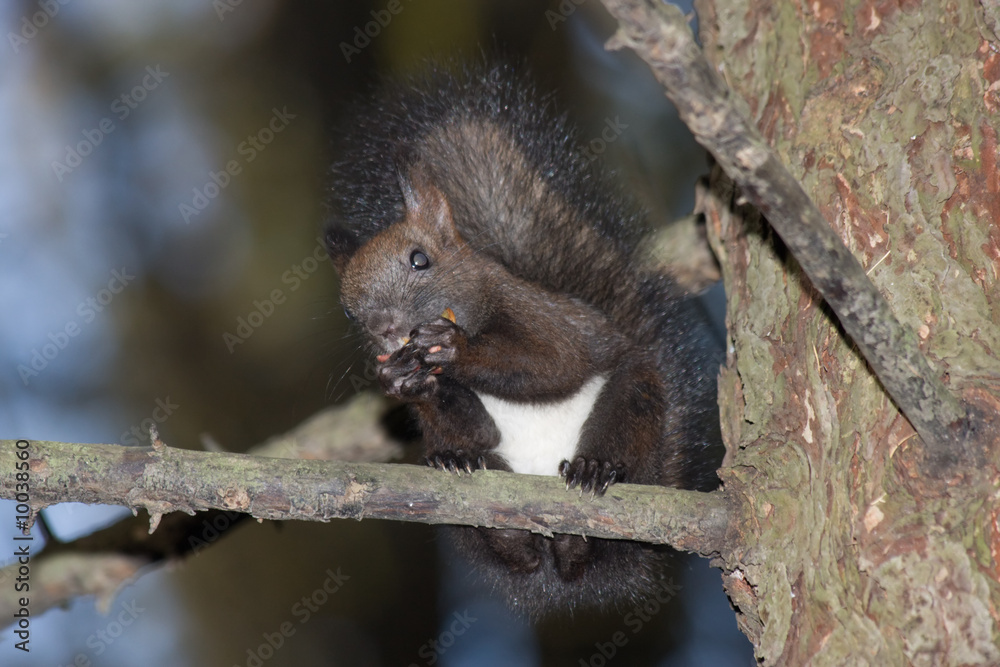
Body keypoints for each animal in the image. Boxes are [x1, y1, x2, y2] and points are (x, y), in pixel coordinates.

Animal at [323, 62, 723, 617]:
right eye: (346, 307)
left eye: (420, 259)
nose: (384, 327)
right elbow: (466, 420)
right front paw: (404, 380)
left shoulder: (544, 319)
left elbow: (555, 364)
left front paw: (455, 349)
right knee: (515, 534)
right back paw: (478, 487)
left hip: (635, 407)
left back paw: (593, 478)